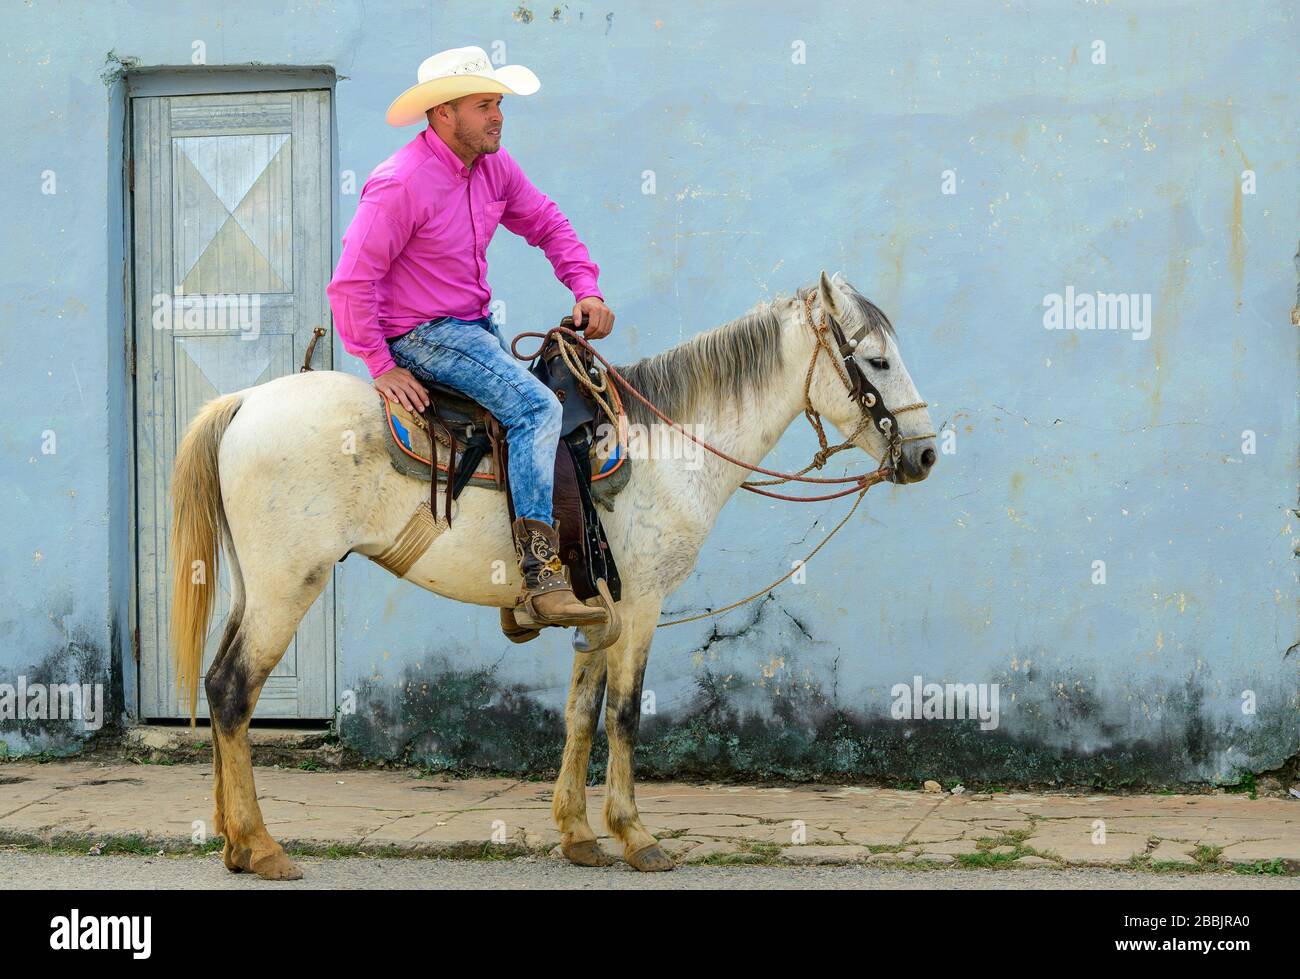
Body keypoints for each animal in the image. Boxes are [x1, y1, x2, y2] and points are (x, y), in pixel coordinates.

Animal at [172, 269, 935, 878]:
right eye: (875, 359)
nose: (925, 454)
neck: (664, 445)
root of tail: (244, 403)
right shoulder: (644, 602)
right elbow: (624, 714)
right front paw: (637, 835)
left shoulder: (599, 604)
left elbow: (580, 713)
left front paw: (577, 833)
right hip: (287, 586)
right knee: (234, 691)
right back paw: (263, 846)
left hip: (252, 587)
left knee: (217, 684)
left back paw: (234, 844)